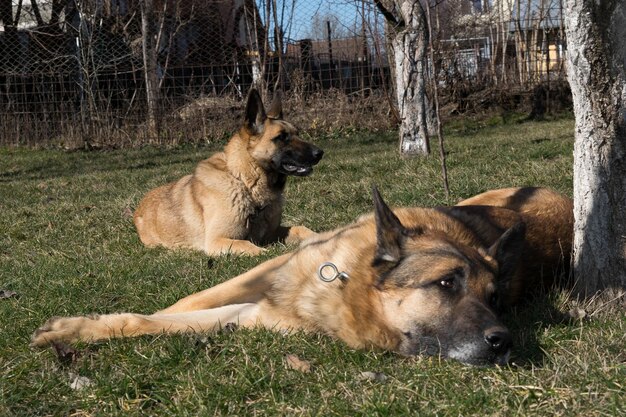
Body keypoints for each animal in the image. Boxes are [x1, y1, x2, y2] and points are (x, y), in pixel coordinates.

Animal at [33, 187, 572, 366]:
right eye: (445, 284)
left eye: (497, 299)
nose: (504, 342)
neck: (347, 284)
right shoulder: (263, 270)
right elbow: (182, 304)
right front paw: (82, 326)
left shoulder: (255, 316)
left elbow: (167, 323)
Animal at [132, 89, 322, 255]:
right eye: (281, 137)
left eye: (297, 134)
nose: (320, 153)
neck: (245, 183)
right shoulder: (218, 240)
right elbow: (248, 245)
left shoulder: (271, 233)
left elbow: (300, 228)